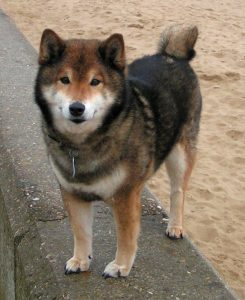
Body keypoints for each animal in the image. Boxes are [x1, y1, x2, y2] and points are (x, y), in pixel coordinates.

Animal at [35, 24, 203, 278]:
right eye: (64, 79)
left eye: (95, 81)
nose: (77, 108)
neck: (83, 144)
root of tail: (173, 56)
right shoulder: (73, 193)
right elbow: (81, 232)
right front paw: (80, 260)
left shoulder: (126, 196)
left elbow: (126, 237)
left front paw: (120, 266)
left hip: (181, 153)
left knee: (178, 191)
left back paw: (175, 226)